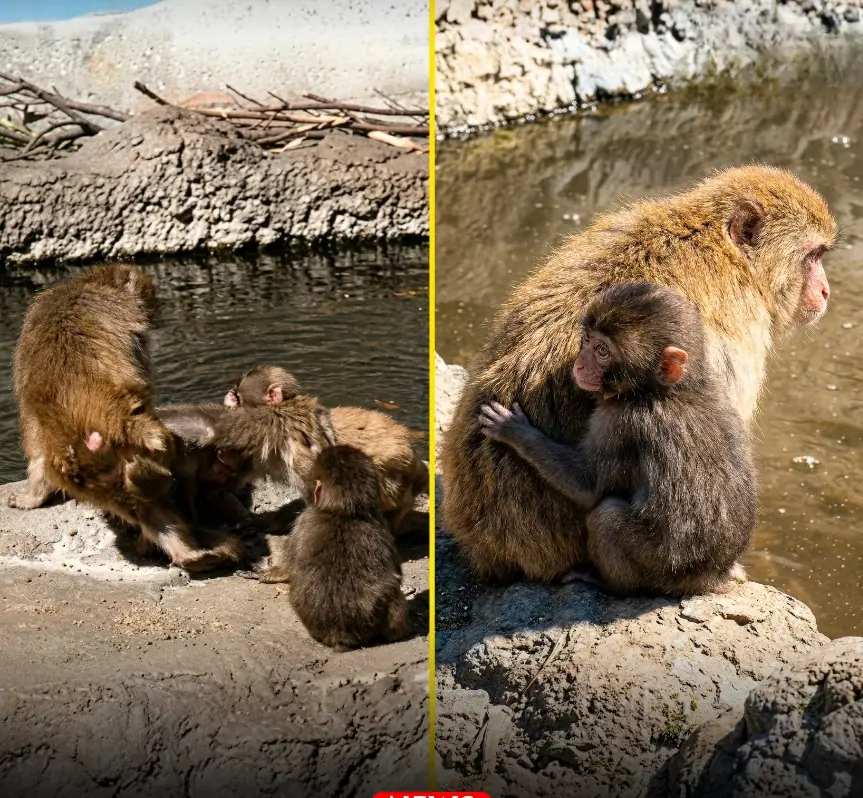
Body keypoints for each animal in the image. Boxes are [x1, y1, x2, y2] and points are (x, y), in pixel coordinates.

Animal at [9, 263, 245, 571]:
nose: (156, 306)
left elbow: (36, 450)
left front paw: (31, 497)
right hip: (142, 444)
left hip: (99, 476)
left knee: (141, 504)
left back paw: (189, 555)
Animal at [479, 282, 756, 596]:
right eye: (587, 340)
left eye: (602, 351)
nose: (579, 364)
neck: (665, 390)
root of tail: (709, 576)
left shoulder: (621, 423)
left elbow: (588, 486)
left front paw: (516, 431)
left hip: (658, 570)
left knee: (607, 516)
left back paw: (605, 582)